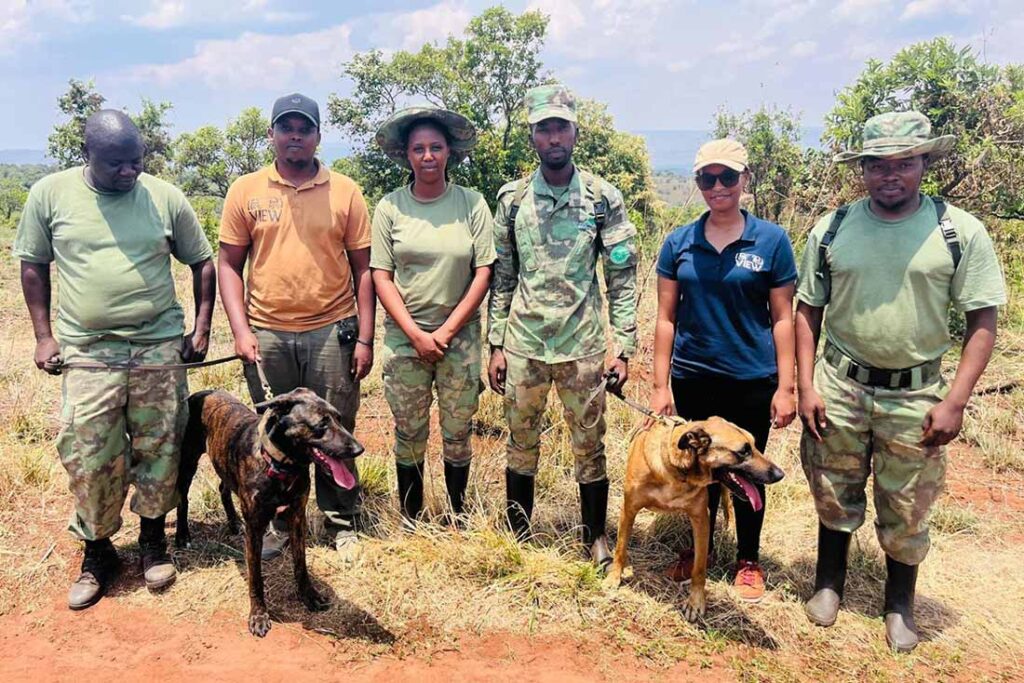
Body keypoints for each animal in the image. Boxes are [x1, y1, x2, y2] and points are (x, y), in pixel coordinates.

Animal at [177, 387, 364, 638]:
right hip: (187, 463)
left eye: (339, 418)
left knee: (223, 488)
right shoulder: (255, 528)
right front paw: (258, 615)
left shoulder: (297, 517)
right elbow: (255, 578)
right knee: (182, 499)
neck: (281, 465)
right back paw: (183, 536)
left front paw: (309, 596)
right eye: (321, 425)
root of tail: (203, 392)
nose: (359, 449)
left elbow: (301, 564)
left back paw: (234, 522)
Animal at [598, 413, 782, 622]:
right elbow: (620, 549)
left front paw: (696, 602)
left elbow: (699, 568)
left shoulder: (701, 519)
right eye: (743, 451)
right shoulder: (628, 510)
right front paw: (614, 578)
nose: (780, 474)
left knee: (729, 508)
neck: (675, 468)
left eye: (755, 445)